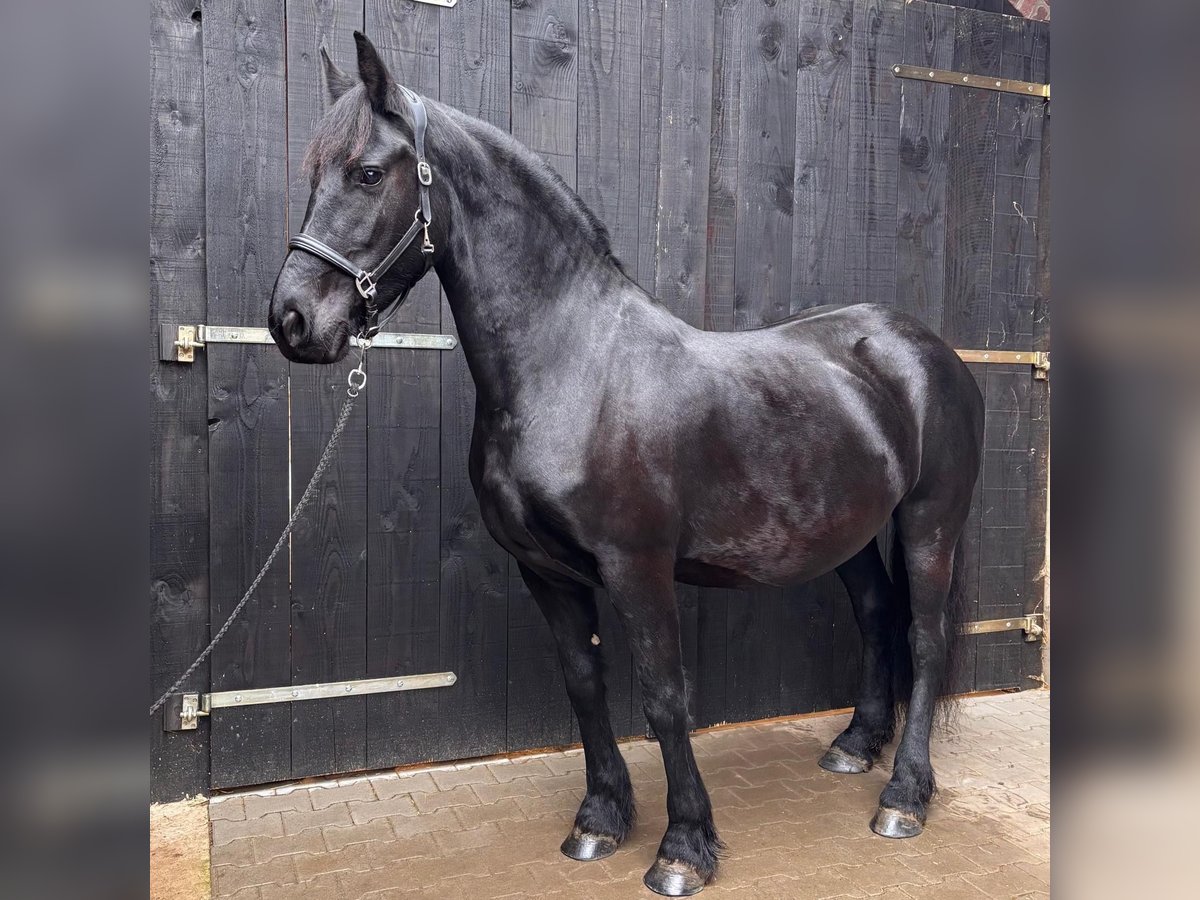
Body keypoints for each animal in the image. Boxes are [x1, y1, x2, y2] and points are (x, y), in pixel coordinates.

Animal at [269, 33, 984, 898]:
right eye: (315, 175)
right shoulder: (545, 571)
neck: (572, 366)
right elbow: (584, 684)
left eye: (369, 173)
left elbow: (663, 696)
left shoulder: (637, 568)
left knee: (924, 636)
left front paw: (683, 846)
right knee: (878, 615)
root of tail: (923, 348)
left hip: (930, 520)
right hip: (849, 530)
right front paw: (601, 819)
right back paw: (854, 747)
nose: (292, 321)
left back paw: (904, 796)